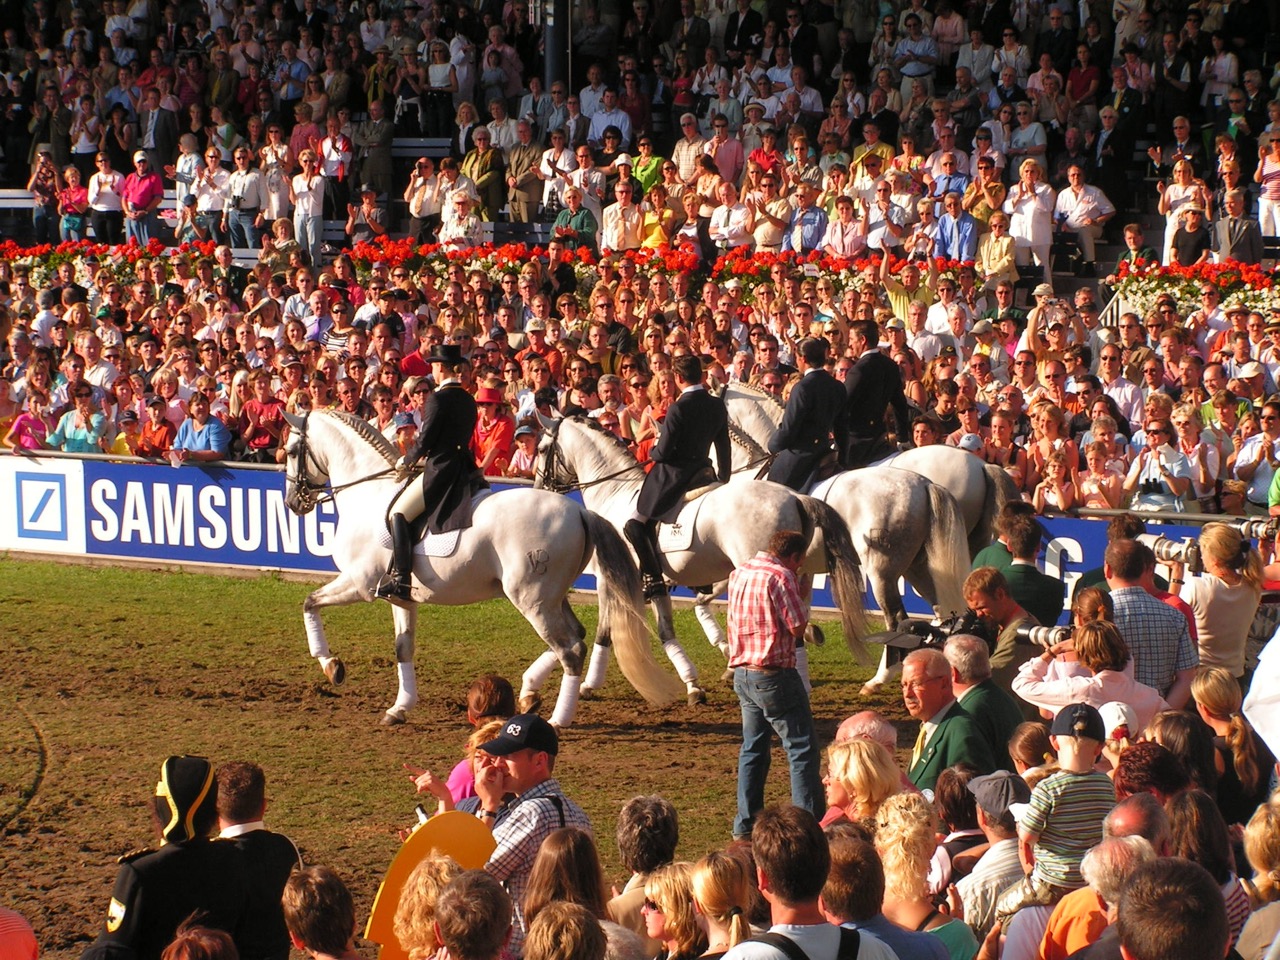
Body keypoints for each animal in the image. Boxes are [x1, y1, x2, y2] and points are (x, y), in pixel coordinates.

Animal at [279, 407, 680, 727]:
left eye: (293, 451)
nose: (294, 502)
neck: (367, 495)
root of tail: (579, 511)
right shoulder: (401, 597)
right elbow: (403, 648)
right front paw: (399, 708)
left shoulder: (360, 584)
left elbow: (309, 603)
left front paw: (331, 666)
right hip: (550, 597)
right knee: (576, 636)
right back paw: (531, 694)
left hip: (530, 599)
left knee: (571, 649)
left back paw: (558, 719)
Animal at [529, 414, 870, 701]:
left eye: (543, 448)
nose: (540, 487)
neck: (614, 496)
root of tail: (794, 496)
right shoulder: (657, 581)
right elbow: (666, 629)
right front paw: (692, 683)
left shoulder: (608, 579)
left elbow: (604, 632)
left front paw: (588, 684)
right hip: (795, 574)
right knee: (795, 624)